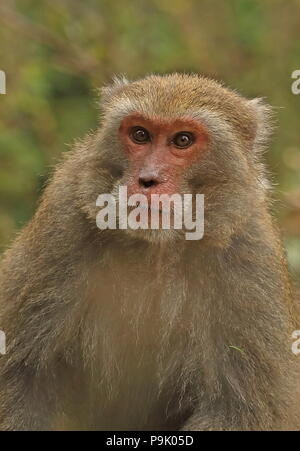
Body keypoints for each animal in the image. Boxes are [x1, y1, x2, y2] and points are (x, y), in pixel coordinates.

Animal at [0, 72, 298, 432]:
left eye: (182, 140)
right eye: (140, 134)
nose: (147, 180)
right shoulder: (62, 218)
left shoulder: (250, 258)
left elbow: (238, 409)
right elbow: (23, 376)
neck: (156, 247)